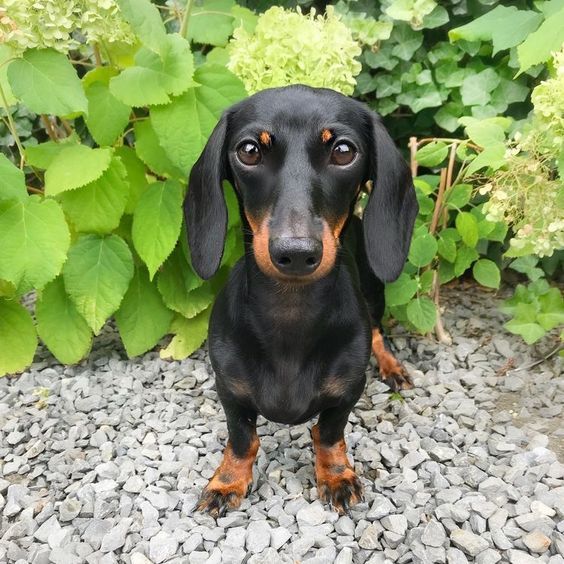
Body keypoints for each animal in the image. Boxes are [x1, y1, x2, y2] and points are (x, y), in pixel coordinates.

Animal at [183, 82, 416, 516]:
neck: (291, 315)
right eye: (249, 150)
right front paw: (226, 481)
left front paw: (336, 475)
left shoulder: (348, 390)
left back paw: (392, 366)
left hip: (375, 289)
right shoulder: (229, 390)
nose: (295, 252)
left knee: (378, 330)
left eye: (343, 150)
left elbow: (328, 433)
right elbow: (242, 439)